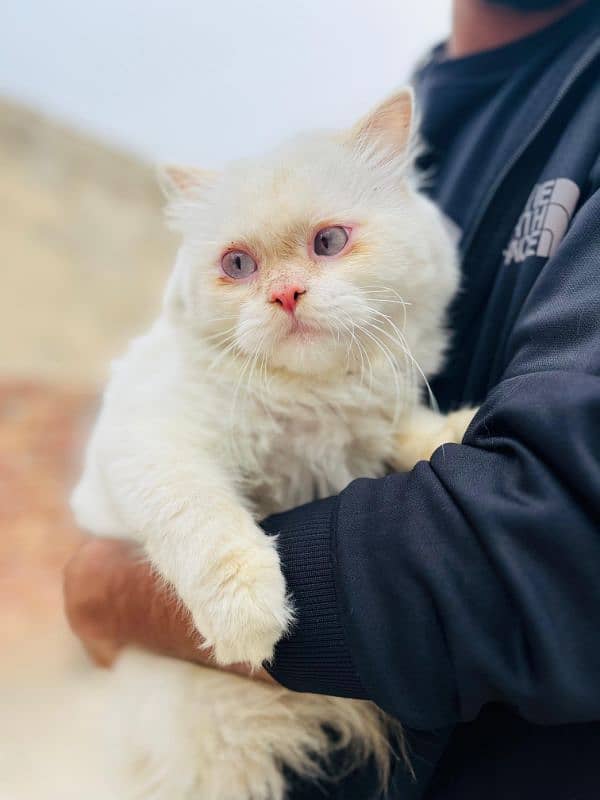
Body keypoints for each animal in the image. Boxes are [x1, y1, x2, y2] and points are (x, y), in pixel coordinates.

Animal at [71, 90, 474, 800]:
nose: (286, 294)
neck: (310, 403)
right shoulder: (153, 441)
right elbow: (206, 522)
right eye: (238, 266)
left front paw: (457, 428)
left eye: (329, 242)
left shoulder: (366, 422)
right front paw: (249, 615)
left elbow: (404, 429)